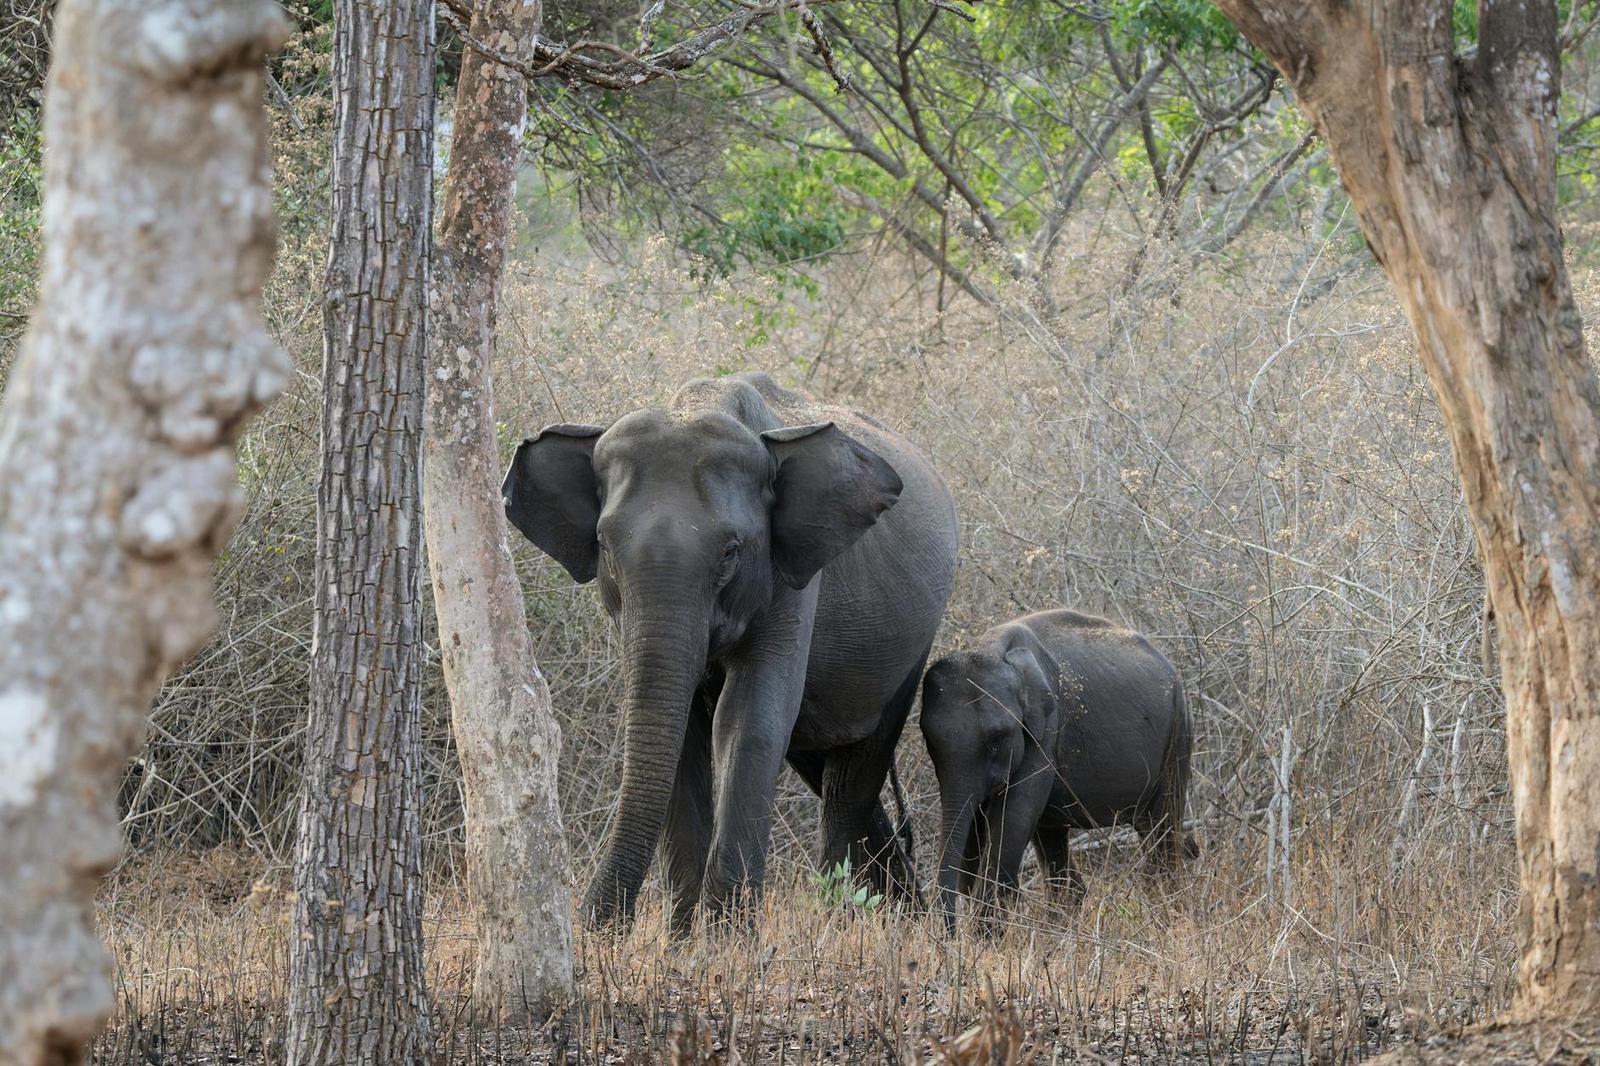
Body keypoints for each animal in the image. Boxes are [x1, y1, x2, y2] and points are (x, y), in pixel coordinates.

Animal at [502, 371, 959, 930]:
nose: (596, 932)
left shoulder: (790, 574)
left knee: (852, 780)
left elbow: (748, 721)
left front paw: (725, 940)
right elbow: (681, 731)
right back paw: (906, 915)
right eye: (604, 547)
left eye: (731, 552)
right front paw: (681, 941)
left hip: (912, 647)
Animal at [919, 609, 1194, 930]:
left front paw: (985, 934)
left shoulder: (1046, 730)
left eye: (998, 737)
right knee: (1053, 838)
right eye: (928, 740)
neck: (991, 649)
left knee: (1161, 828)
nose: (947, 934)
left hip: (1177, 735)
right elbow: (976, 825)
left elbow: (1012, 817)